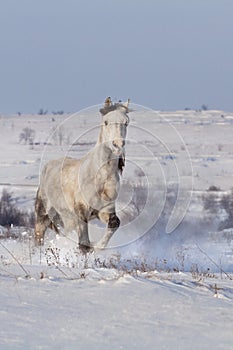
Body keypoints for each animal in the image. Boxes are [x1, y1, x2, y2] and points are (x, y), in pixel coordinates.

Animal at [34, 97, 130, 253]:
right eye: (106, 122)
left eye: (126, 122)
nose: (118, 144)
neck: (100, 178)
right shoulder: (81, 210)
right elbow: (83, 244)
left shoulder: (104, 210)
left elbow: (114, 223)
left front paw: (97, 247)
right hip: (44, 214)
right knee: (39, 235)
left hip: (67, 219)